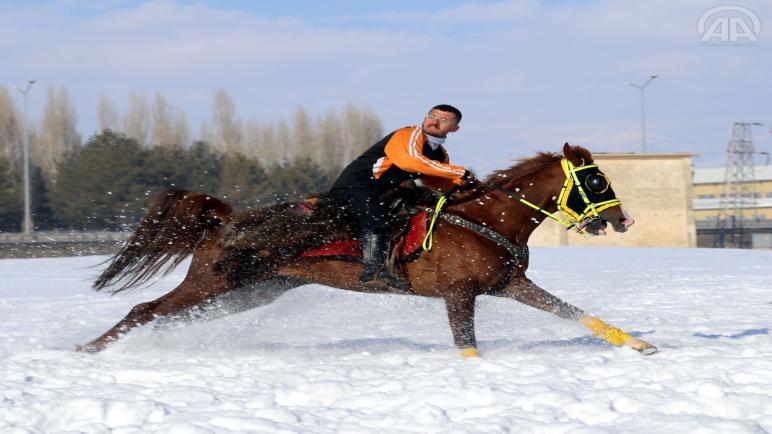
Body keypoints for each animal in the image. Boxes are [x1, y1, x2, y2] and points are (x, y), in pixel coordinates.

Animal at [77, 146, 656, 356]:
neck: (485, 219)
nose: (623, 219)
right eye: (596, 180)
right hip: (213, 281)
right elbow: (467, 344)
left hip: (249, 291)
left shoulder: (510, 284)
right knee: (144, 309)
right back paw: (89, 349)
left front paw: (638, 344)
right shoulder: (459, 294)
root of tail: (224, 220)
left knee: (164, 316)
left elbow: (575, 313)